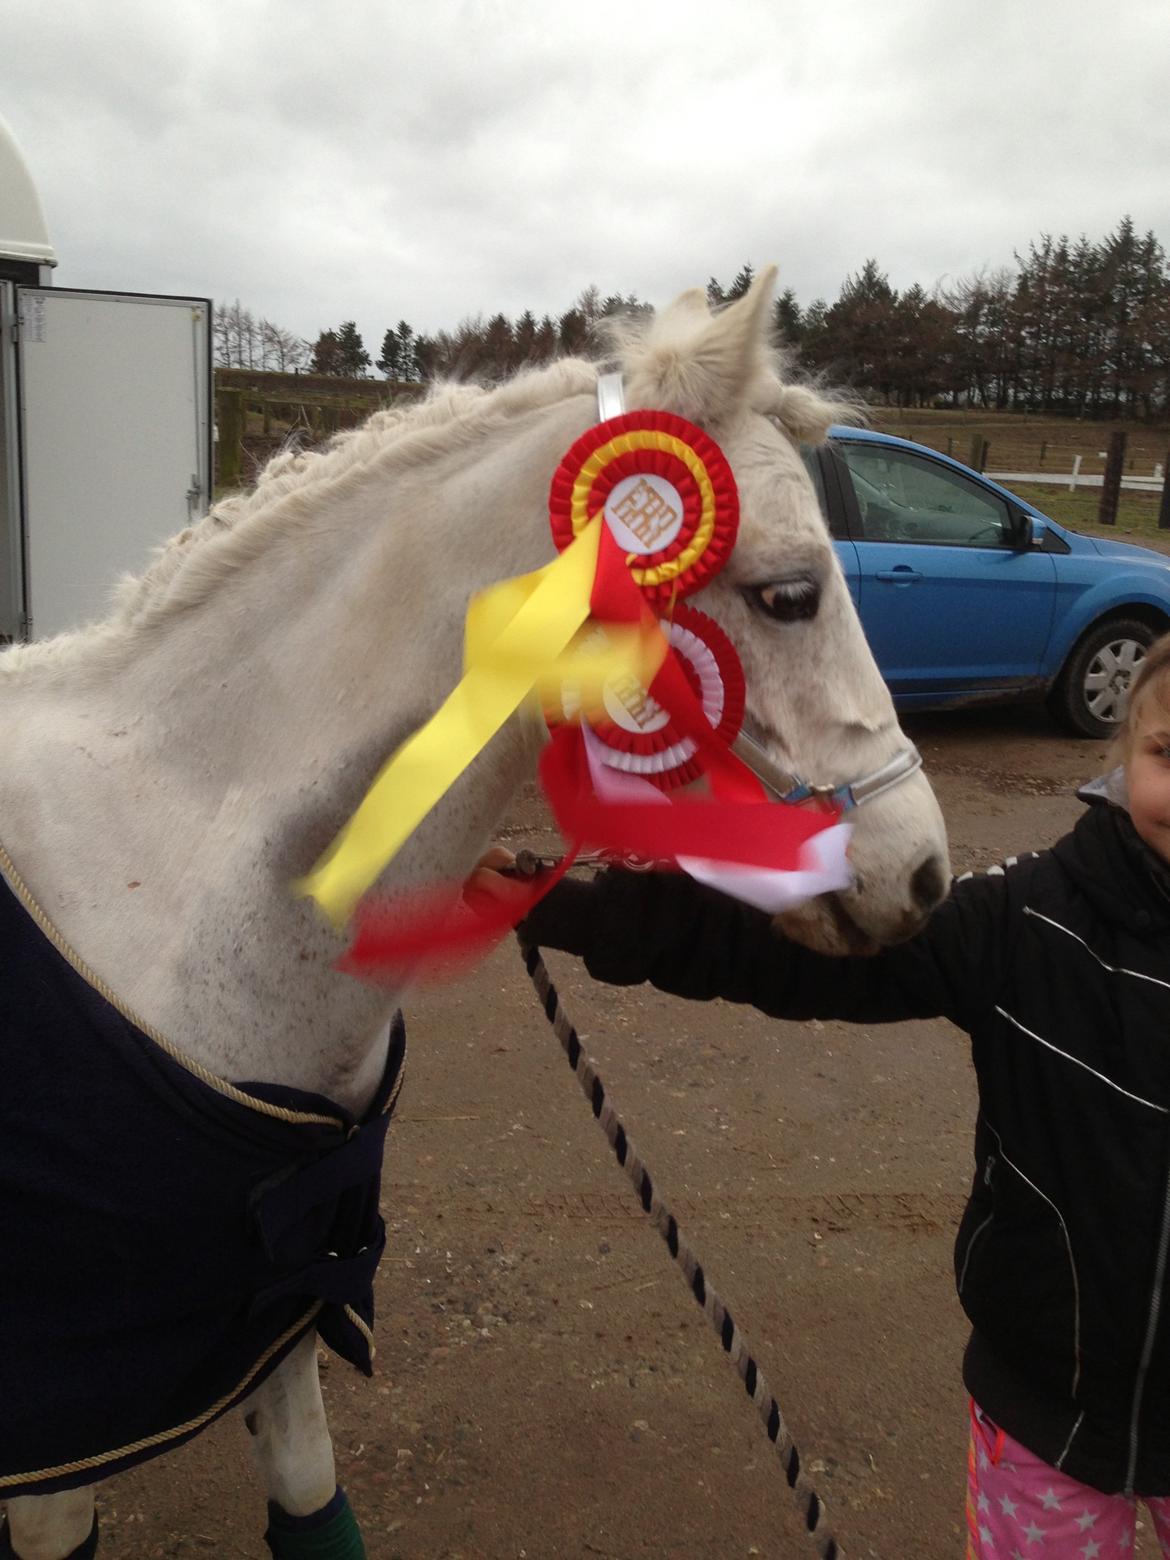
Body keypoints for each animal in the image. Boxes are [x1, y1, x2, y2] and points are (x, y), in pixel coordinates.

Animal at [0, 269, 948, 1559]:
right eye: (790, 594)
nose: (923, 873)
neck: (174, 866)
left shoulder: (275, 1306)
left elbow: (311, 1498)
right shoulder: (61, 1421)